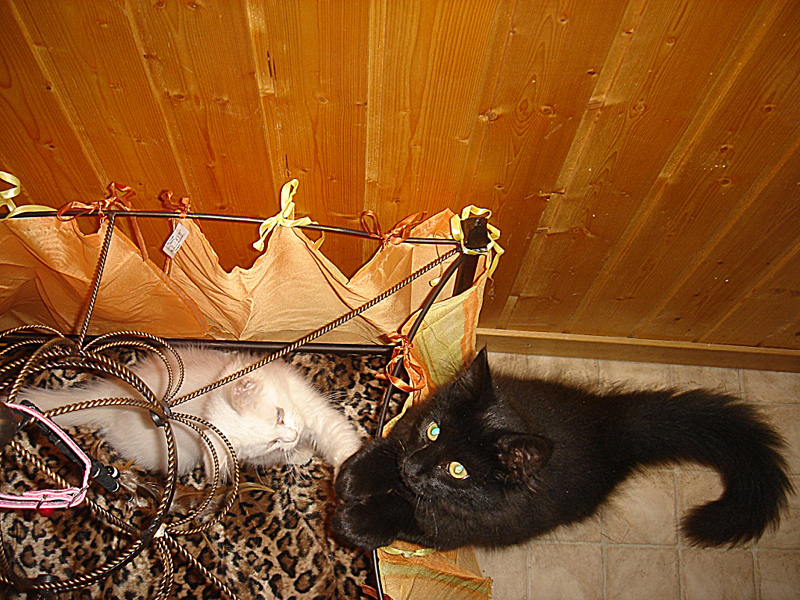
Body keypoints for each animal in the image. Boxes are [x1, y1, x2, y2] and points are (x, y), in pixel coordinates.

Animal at [13, 347, 362, 479]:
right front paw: (302, 454)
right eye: (270, 443)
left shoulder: (309, 406)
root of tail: (117, 397)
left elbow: (336, 437)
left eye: (279, 414)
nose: (291, 435)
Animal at [333, 349, 793, 551]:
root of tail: (613, 420)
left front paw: (356, 520)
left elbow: (411, 514)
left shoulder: (459, 528)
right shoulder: (407, 428)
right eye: (433, 431)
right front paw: (353, 477)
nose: (414, 469)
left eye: (458, 469)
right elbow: (389, 446)